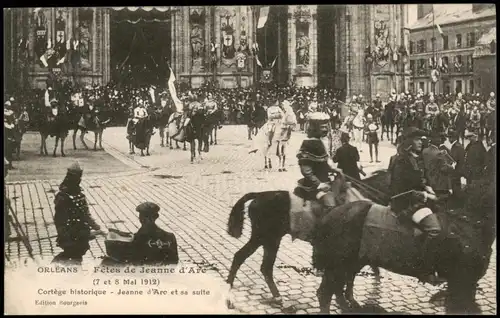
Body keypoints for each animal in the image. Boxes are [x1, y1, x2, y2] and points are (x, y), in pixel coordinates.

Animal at [225, 173, 354, 306]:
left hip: (272, 240)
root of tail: (260, 195)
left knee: (265, 267)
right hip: (262, 237)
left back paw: (277, 297)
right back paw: (228, 294)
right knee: (240, 257)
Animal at [314, 170, 494, 314]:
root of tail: (332, 212)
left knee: (339, 288)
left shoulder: (464, 284)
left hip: (352, 261)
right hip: (337, 264)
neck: (468, 224)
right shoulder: (461, 282)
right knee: (325, 293)